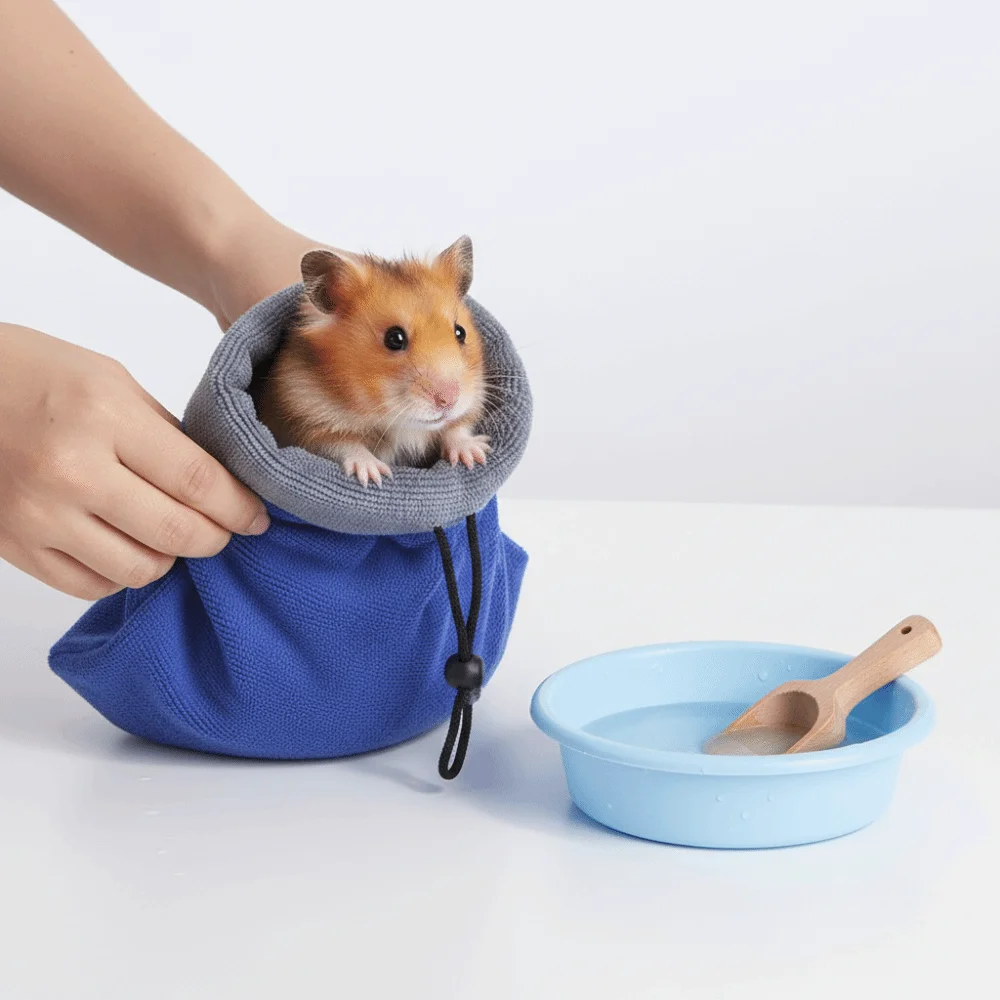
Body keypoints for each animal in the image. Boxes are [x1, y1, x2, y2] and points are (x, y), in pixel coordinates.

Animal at [254, 236, 489, 487]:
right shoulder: (302, 423)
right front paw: (374, 475)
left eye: (460, 332)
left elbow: (456, 428)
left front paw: (476, 455)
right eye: (394, 338)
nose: (449, 401)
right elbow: (343, 445)